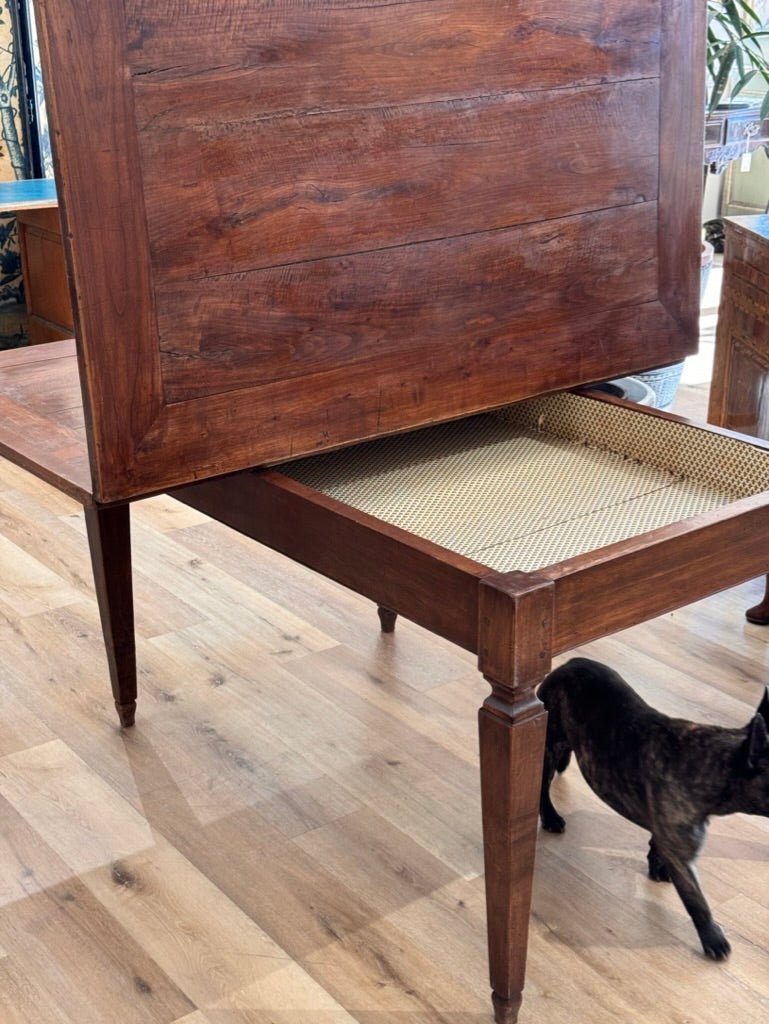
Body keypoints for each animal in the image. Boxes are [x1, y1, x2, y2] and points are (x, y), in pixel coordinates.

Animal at [540, 655, 769, 958]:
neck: (712, 764)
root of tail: (566, 665)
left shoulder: (667, 832)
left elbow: (657, 843)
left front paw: (657, 865)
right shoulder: (683, 856)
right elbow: (697, 900)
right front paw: (713, 938)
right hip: (547, 743)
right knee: (541, 785)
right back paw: (550, 816)